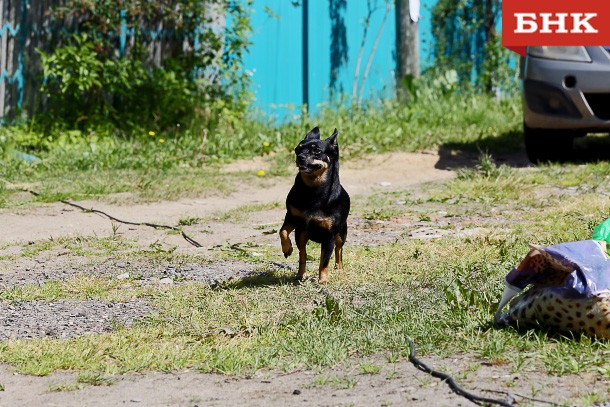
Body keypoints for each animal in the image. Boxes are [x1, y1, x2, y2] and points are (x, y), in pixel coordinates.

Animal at [280, 126, 350, 284]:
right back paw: (300, 275)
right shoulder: (293, 218)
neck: (313, 189)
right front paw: (287, 248)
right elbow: (283, 232)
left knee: (339, 250)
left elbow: (324, 261)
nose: (300, 157)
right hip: (301, 235)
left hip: (341, 233)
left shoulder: (329, 236)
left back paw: (339, 268)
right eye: (297, 149)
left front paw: (323, 280)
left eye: (317, 151)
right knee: (303, 255)